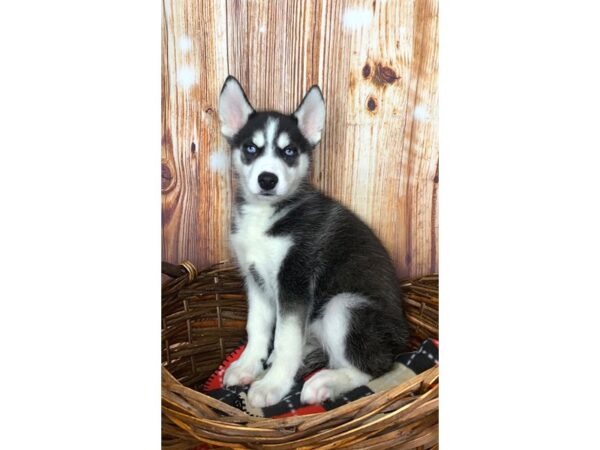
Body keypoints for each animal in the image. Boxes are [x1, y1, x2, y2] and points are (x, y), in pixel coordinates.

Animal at [218, 76, 410, 408]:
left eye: (289, 151)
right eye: (251, 148)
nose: (267, 179)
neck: (267, 214)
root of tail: (404, 338)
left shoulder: (295, 279)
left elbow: (285, 339)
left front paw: (273, 385)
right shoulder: (255, 279)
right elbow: (257, 327)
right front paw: (248, 365)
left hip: (343, 305)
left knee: (373, 366)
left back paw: (325, 383)